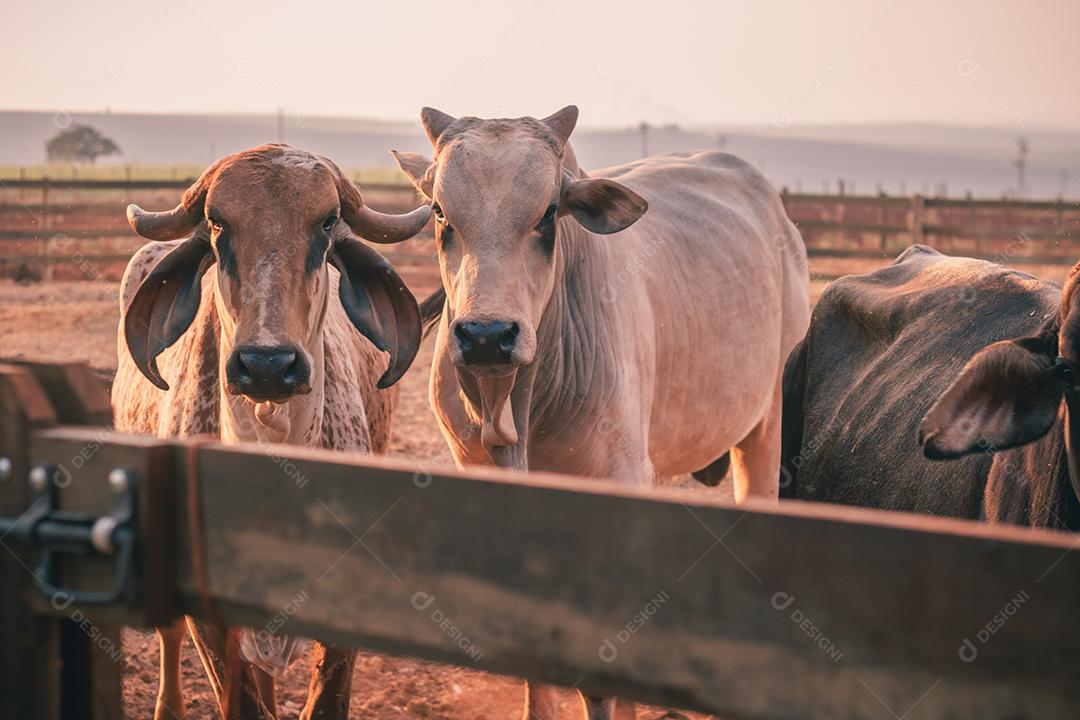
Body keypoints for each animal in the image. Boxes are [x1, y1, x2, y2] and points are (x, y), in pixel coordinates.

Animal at [392, 106, 811, 720]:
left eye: (548, 213)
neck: (517, 410)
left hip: (767, 428)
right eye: (441, 211)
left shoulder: (616, 479)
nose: (487, 335)